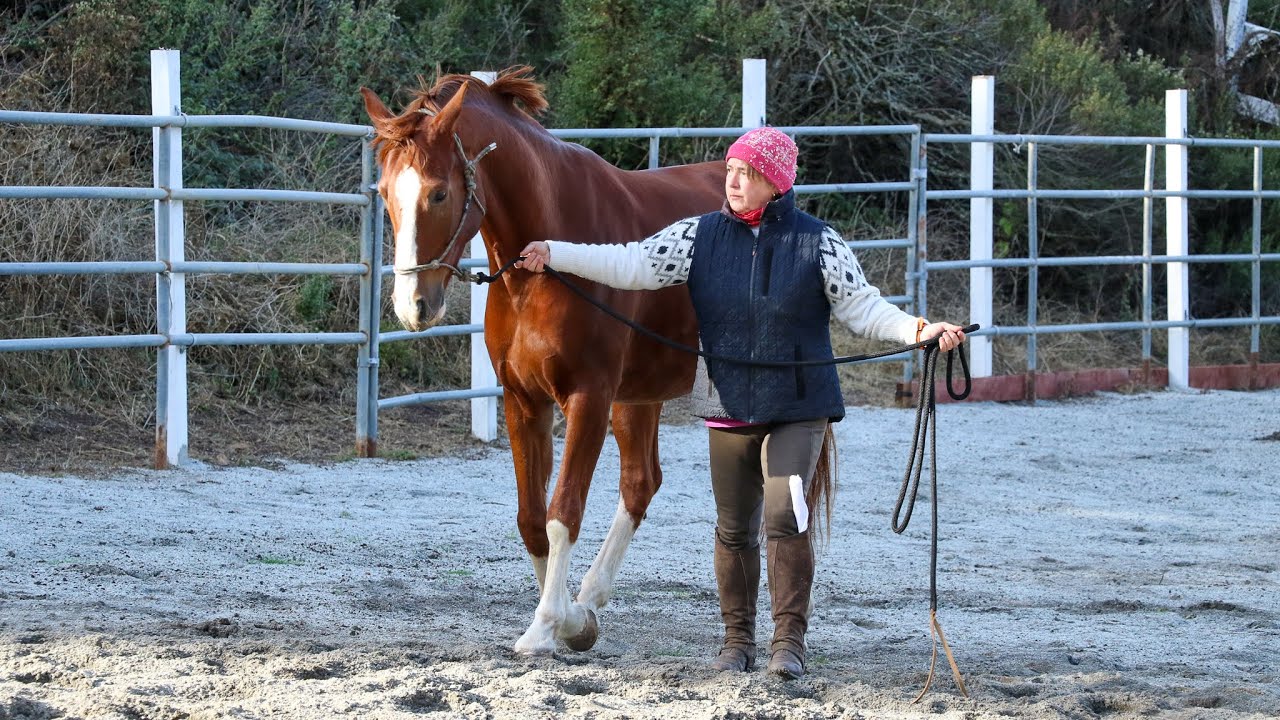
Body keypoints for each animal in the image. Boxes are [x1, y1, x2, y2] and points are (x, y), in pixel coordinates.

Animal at [361, 66, 725, 654]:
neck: (544, 261)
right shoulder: (523, 400)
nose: (413, 304)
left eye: (439, 193)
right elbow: (532, 518)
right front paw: (571, 620)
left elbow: (563, 513)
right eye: (387, 194)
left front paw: (547, 624)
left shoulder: (588, 399)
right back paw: (592, 594)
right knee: (640, 482)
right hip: (638, 397)